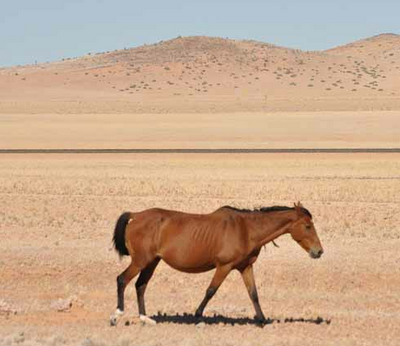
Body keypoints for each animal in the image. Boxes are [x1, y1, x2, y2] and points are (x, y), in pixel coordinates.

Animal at [110, 201, 324, 326]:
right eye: (307, 226)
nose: (319, 251)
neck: (246, 229)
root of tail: (135, 215)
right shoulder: (224, 266)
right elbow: (211, 291)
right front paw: (197, 316)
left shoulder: (245, 267)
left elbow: (253, 294)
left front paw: (262, 320)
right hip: (140, 261)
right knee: (122, 280)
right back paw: (116, 316)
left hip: (151, 262)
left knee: (140, 285)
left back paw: (145, 318)